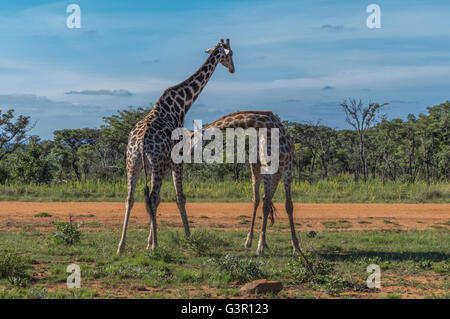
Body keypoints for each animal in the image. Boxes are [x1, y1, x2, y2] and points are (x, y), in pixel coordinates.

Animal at [116, 39, 236, 255]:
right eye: (230, 54)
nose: (233, 69)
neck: (181, 104)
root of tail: (140, 143)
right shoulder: (177, 159)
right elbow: (180, 197)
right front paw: (188, 237)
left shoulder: (162, 163)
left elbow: (160, 200)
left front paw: (147, 241)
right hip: (154, 164)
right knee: (152, 197)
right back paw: (156, 245)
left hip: (133, 163)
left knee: (130, 198)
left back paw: (121, 246)